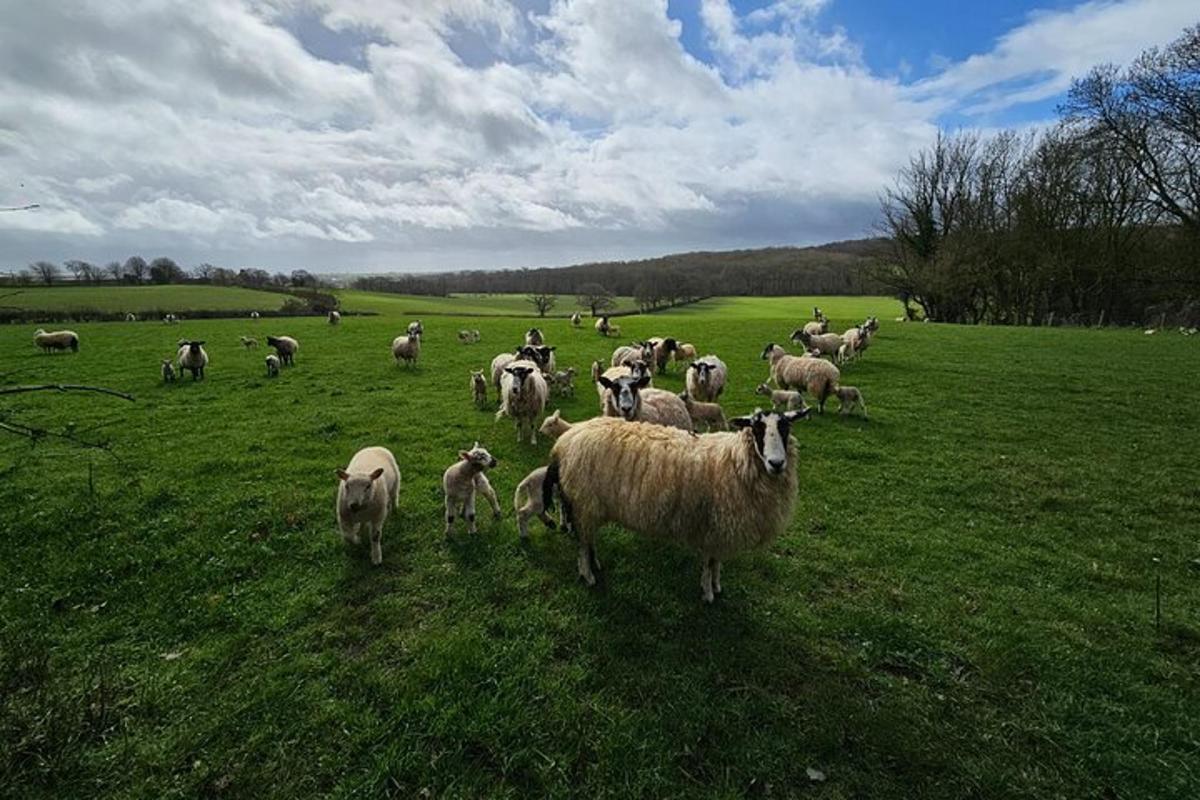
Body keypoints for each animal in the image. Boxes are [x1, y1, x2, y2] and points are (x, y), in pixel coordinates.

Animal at [544, 410, 806, 604]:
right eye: (757, 428)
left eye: (786, 428)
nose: (776, 463)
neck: (734, 461)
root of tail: (566, 438)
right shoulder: (713, 527)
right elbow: (709, 563)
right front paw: (708, 594)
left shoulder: (719, 530)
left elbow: (717, 562)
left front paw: (717, 585)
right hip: (582, 504)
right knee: (582, 545)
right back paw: (588, 575)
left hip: (590, 507)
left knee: (589, 541)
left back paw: (595, 565)